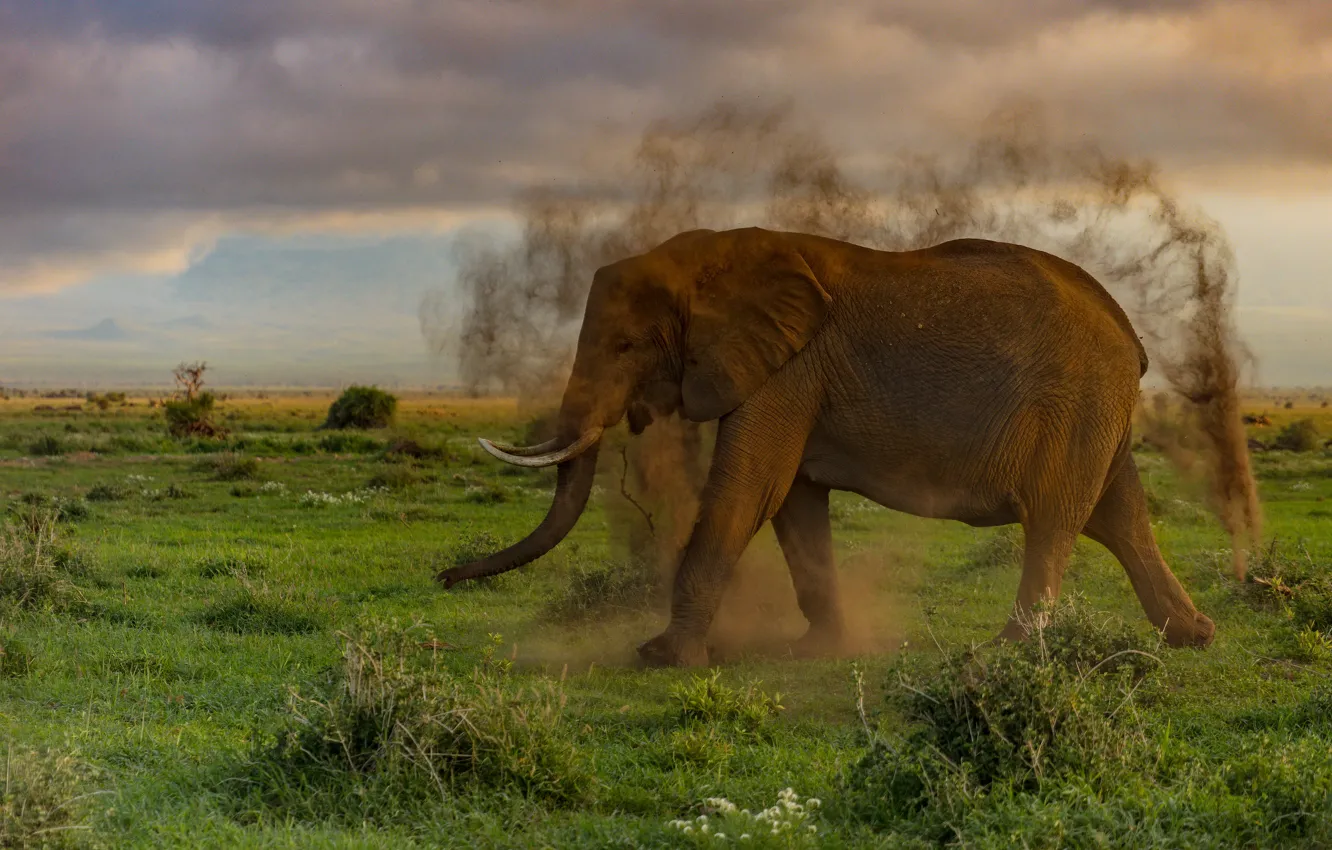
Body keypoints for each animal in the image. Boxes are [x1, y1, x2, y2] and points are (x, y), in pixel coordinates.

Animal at [437, 226, 1216, 667]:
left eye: (627, 346)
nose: (443, 580)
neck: (705, 260)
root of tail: (1130, 334)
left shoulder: (786, 370)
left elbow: (748, 492)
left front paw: (661, 658)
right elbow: (795, 504)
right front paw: (817, 652)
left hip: (1075, 401)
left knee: (1055, 521)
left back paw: (1003, 656)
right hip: (1098, 412)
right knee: (1120, 516)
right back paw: (1193, 637)